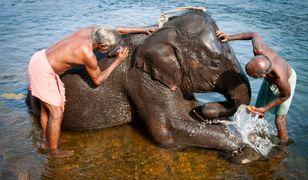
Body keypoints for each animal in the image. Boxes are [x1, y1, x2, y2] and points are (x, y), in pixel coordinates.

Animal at [27, 10, 262, 163]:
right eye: (214, 63)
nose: (205, 108)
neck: (163, 33)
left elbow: (185, 111)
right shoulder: (143, 79)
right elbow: (168, 130)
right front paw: (246, 153)